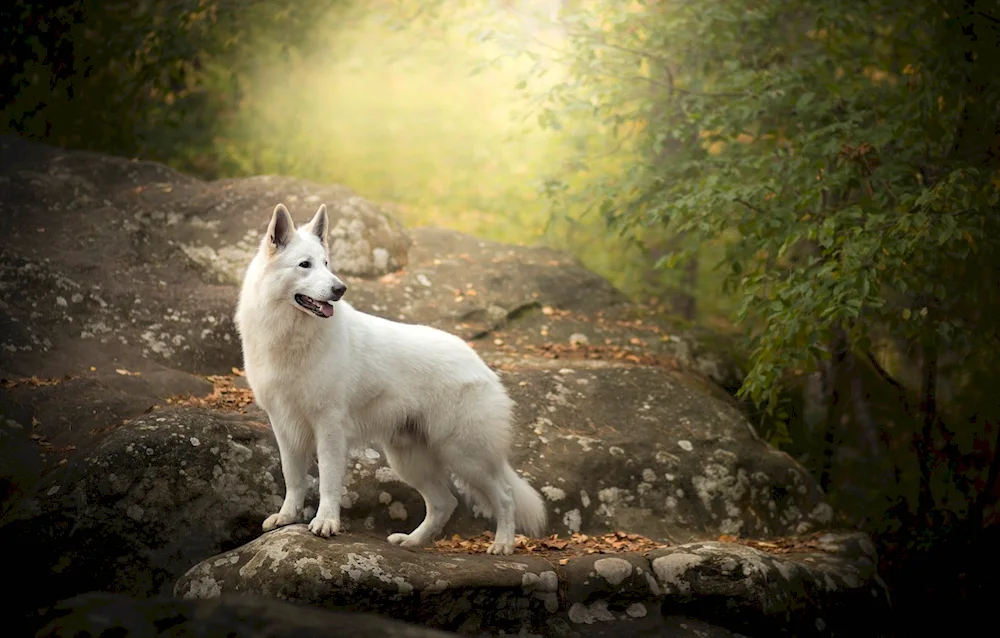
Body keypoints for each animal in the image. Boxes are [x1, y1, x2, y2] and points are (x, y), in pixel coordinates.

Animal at [234, 204, 548, 556]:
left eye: (326, 264)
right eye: (305, 265)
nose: (340, 289)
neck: (292, 338)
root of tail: (482, 365)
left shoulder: (329, 426)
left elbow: (328, 480)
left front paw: (326, 522)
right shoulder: (284, 425)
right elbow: (293, 477)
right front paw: (287, 517)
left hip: (466, 456)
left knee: (504, 497)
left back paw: (503, 544)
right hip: (409, 460)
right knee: (445, 503)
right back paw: (412, 541)